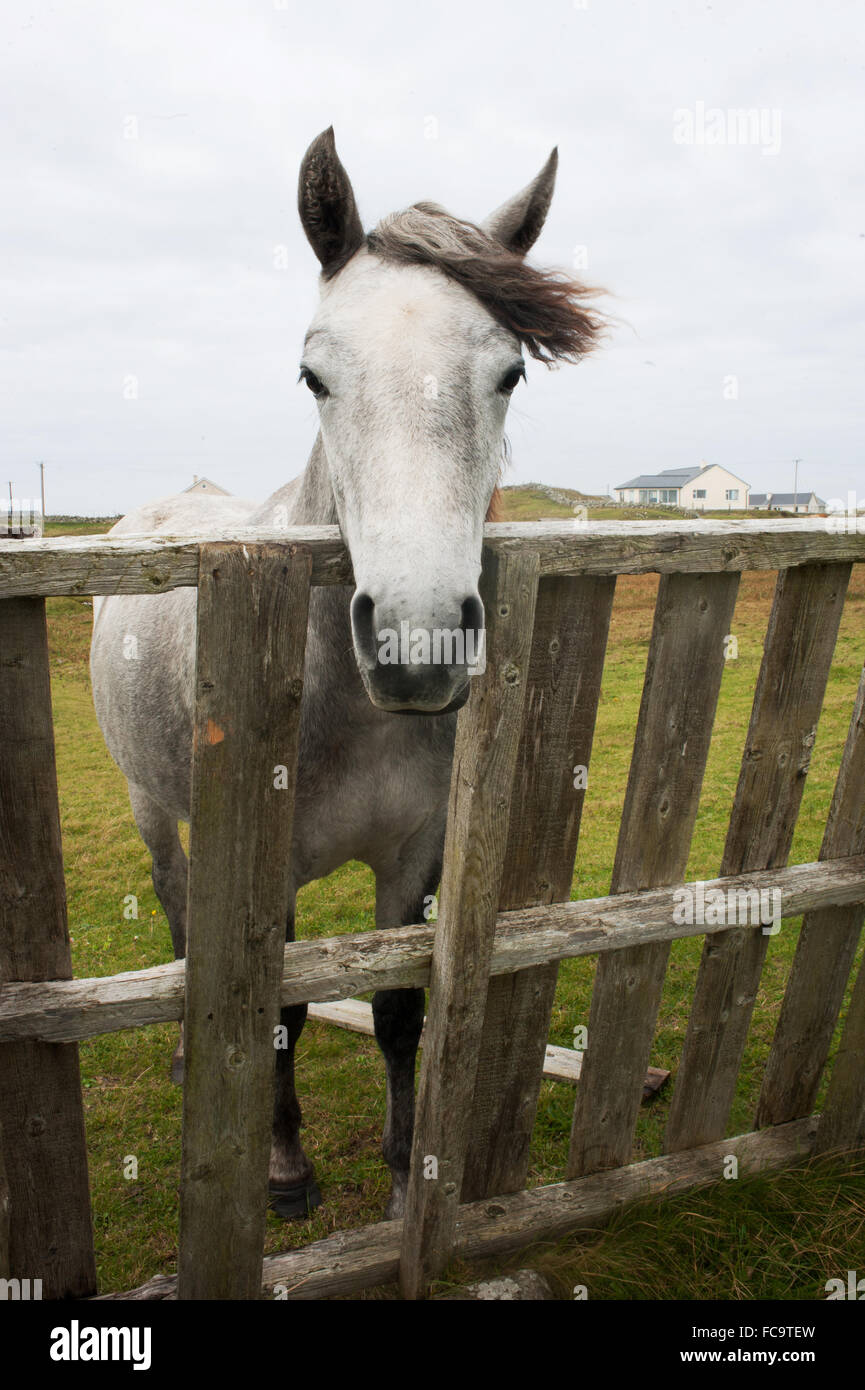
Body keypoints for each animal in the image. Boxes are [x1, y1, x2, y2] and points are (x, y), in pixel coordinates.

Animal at [89, 130, 603, 1217]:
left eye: (510, 374)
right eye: (312, 375)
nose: (418, 642)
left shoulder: (415, 857)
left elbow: (400, 1006)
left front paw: (407, 1171)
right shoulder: (271, 868)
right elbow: (278, 1007)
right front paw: (285, 1169)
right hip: (151, 804)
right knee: (174, 906)